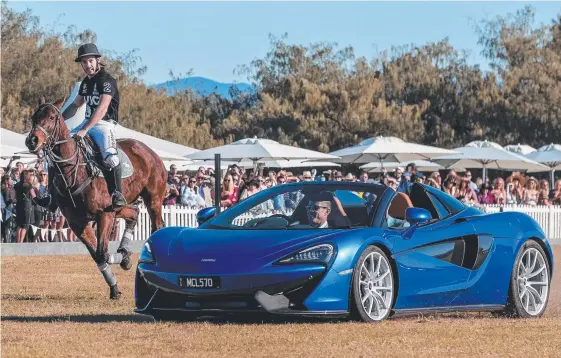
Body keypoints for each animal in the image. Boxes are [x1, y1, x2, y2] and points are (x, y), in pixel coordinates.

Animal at [26, 96, 166, 300]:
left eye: (52, 117)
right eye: (33, 116)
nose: (32, 140)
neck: (73, 171)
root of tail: (150, 151)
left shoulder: (104, 215)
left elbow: (103, 253)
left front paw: (124, 260)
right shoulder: (78, 223)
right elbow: (97, 256)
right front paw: (116, 285)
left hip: (153, 200)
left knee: (156, 226)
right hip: (120, 207)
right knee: (133, 212)